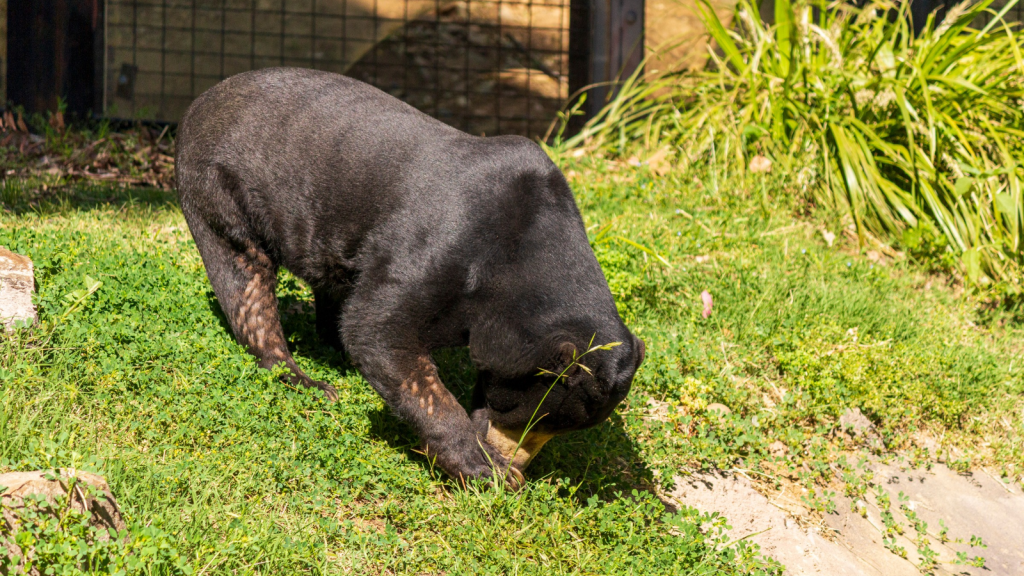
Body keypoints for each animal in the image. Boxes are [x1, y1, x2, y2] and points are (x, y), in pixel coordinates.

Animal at [173, 67, 643, 483]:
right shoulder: (435, 246)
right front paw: (485, 468)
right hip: (218, 189)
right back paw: (307, 380)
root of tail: (199, 102)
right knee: (247, 281)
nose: (518, 463)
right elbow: (379, 330)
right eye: (527, 413)